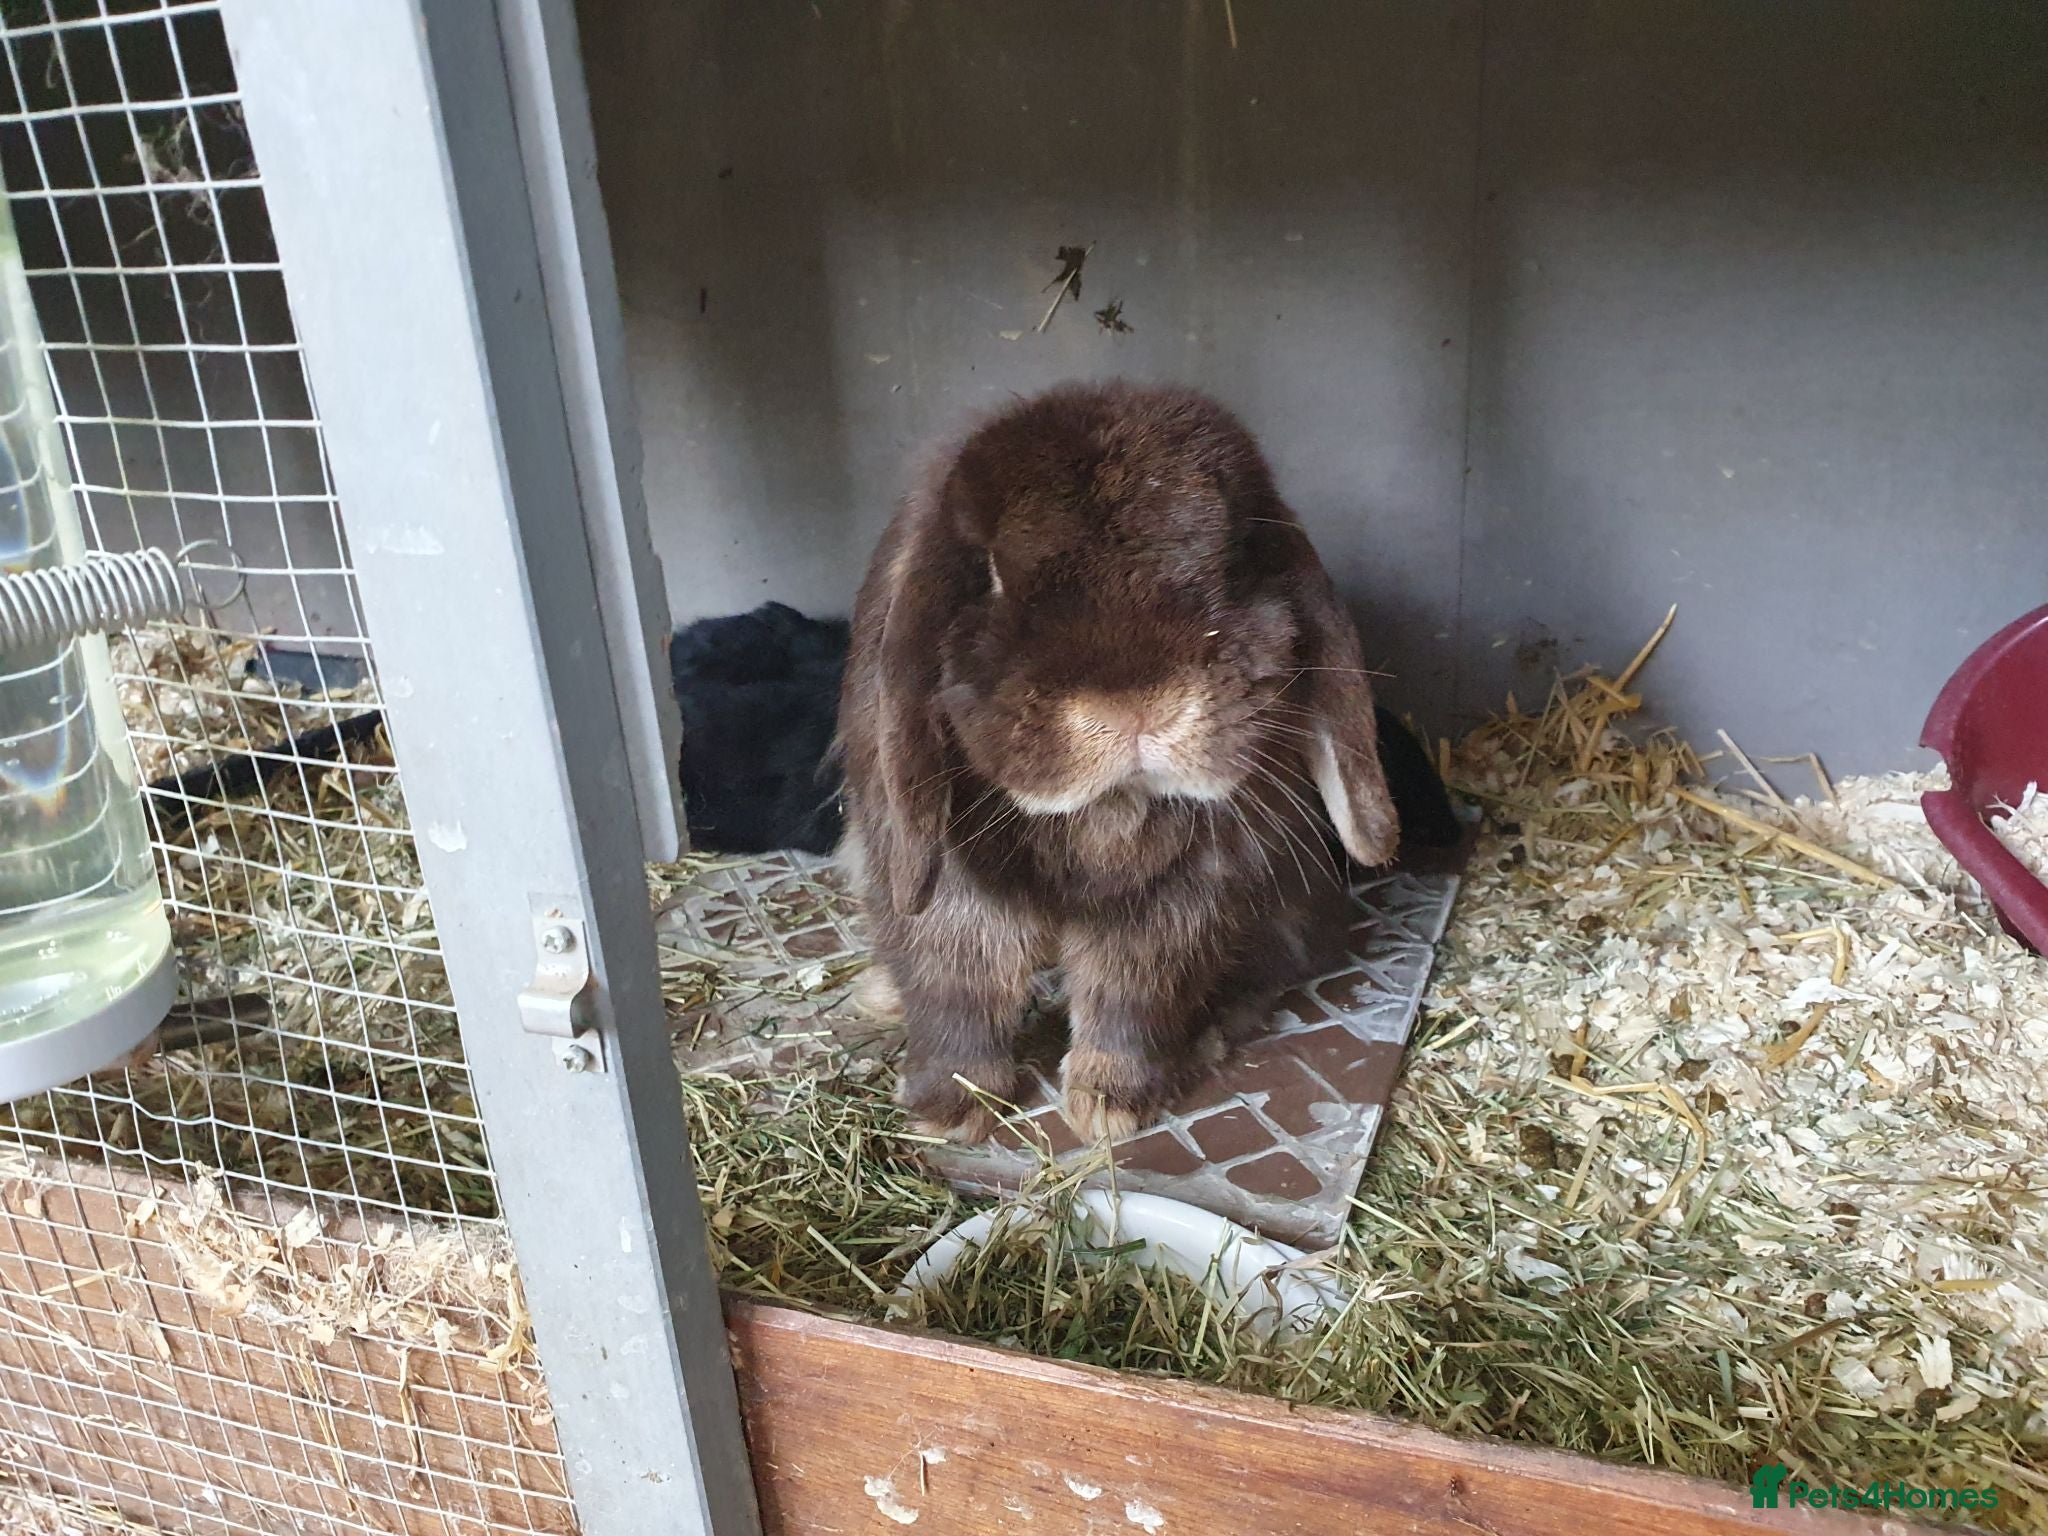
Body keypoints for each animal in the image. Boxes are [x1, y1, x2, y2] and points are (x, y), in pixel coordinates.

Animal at [837, 380, 1401, 1142]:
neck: (1102, 814)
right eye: (991, 574)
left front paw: (1109, 1106)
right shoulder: (948, 890)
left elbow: (1132, 995)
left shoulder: (1177, 904)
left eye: (1235, 556)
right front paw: (951, 1110)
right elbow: (959, 985)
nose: (1137, 707)